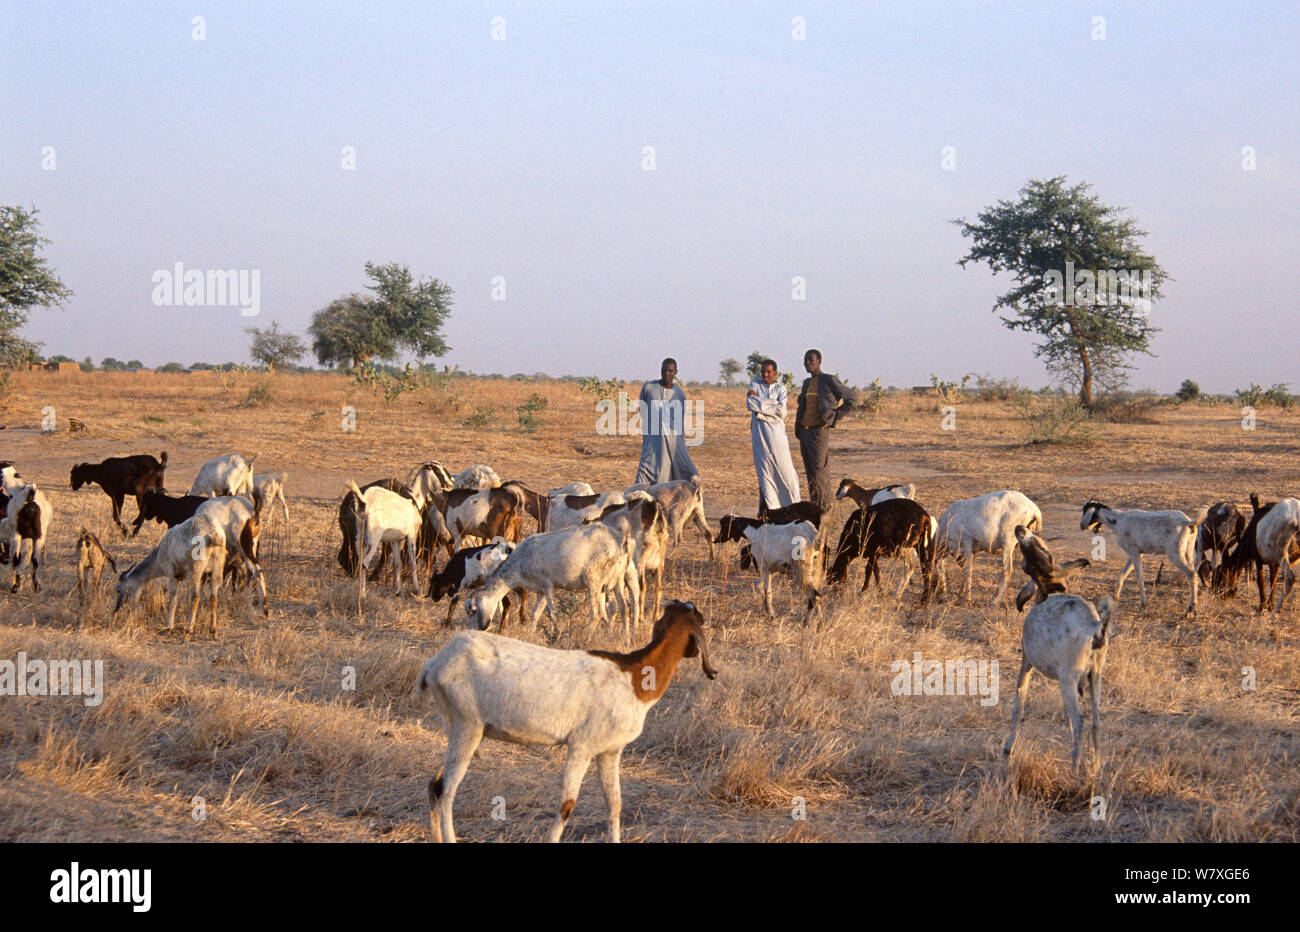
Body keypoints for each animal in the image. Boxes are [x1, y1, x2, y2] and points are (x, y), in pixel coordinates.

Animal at [416, 600, 717, 847]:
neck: (634, 678)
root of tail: (434, 664)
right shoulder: (582, 745)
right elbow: (567, 804)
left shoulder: (610, 751)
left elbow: (614, 803)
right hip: (467, 725)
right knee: (446, 791)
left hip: (457, 727)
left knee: (434, 784)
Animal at [467, 522, 639, 631]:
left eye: (474, 610)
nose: (481, 628)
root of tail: (620, 540)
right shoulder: (540, 591)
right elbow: (535, 614)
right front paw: (529, 633)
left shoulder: (547, 584)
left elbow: (551, 613)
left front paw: (555, 633)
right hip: (618, 578)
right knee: (623, 608)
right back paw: (623, 638)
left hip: (594, 579)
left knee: (597, 613)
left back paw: (586, 634)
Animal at [1003, 592, 1118, 769]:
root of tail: (1095, 627)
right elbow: (1066, 715)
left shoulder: (1027, 662)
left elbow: (1018, 705)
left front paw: (1009, 749)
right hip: (1094, 678)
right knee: (1095, 723)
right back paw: (1095, 765)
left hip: (1069, 680)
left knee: (1080, 724)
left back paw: (1075, 769)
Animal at [1076, 499, 1206, 613]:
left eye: (1085, 509)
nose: (1081, 525)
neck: (1118, 521)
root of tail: (1188, 523)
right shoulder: (1136, 552)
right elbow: (1122, 574)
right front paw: (1115, 598)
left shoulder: (1134, 552)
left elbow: (1140, 578)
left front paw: (1143, 605)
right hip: (1188, 551)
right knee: (1194, 572)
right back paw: (1194, 606)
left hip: (1175, 553)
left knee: (1192, 574)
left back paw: (1190, 608)